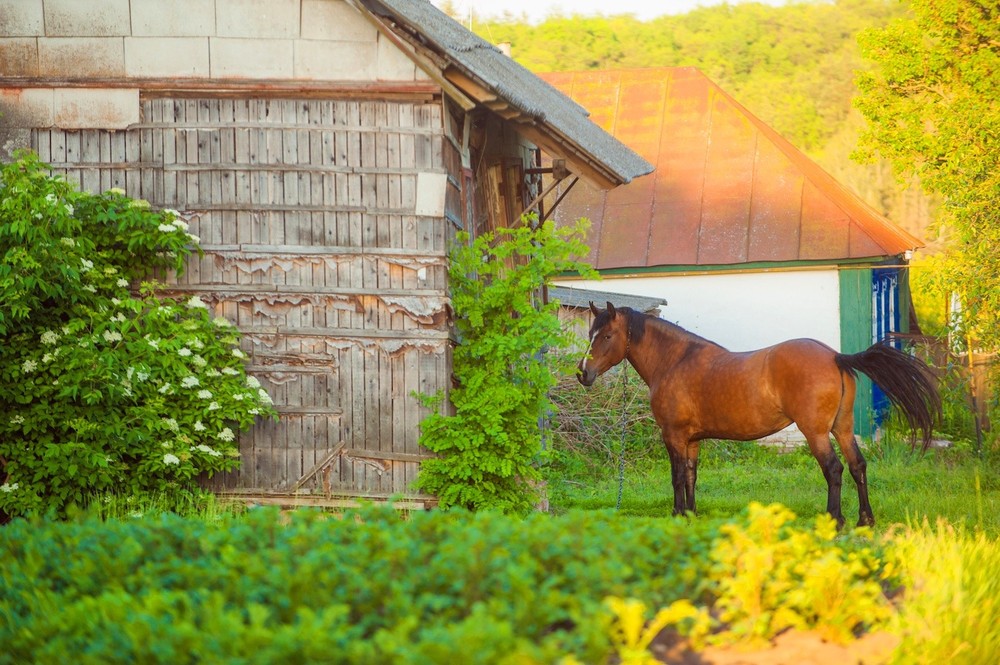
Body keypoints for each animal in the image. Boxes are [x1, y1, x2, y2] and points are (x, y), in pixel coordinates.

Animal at [576, 300, 940, 524]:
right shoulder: (692, 439)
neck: (676, 361)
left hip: (816, 432)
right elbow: (692, 475)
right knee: (857, 466)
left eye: (606, 335)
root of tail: (834, 356)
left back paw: (834, 520)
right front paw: (692, 514)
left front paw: (678, 514)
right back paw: (866, 519)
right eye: (591, 333)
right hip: (843, 428)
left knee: (834, 469)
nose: (582, 372)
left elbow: (677, 475)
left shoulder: (674, 436)